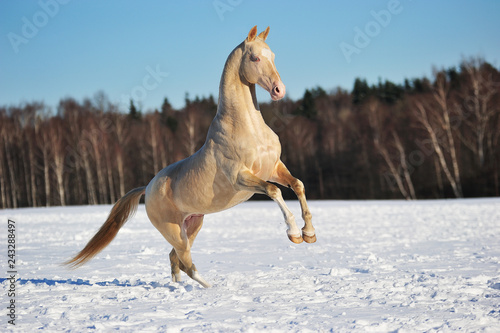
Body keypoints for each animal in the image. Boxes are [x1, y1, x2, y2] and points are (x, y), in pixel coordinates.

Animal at [65, 26, 316, 286]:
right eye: (255, 57)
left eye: (273, 56)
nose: (279, 90)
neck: (248, 128)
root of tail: (148, 187)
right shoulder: (241, 178)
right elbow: (274, 191)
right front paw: (294, 233)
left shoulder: (274, 168)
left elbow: (298, 185)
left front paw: (309, 234)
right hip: (175, 232)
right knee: (186, 263)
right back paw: (210, 288)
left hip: (193, 224)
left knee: (174, 259)